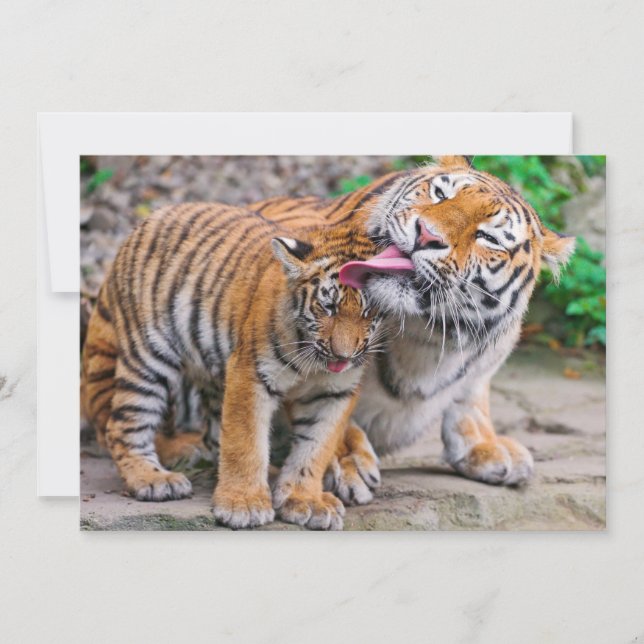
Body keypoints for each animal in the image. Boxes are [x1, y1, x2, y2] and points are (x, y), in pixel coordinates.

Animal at [81, 202, 385, 530]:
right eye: (327, 307)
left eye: (369, 312)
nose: (343, 356)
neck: (314, 361)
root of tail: (150, 218)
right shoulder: (252, 373)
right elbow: (245, 441)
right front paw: (244, 505)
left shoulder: (334, 393)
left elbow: (315, 448)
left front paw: (305, 500)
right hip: (148, 358)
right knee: (122, 424)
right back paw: (153, 479)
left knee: (214, 437)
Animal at [249, 155, 576, 493]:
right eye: (440, 194)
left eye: (488, 237)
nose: (426, 235)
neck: (426, 333)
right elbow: (324, 408)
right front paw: (348, 460)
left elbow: (471, 396)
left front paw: (486, 445)